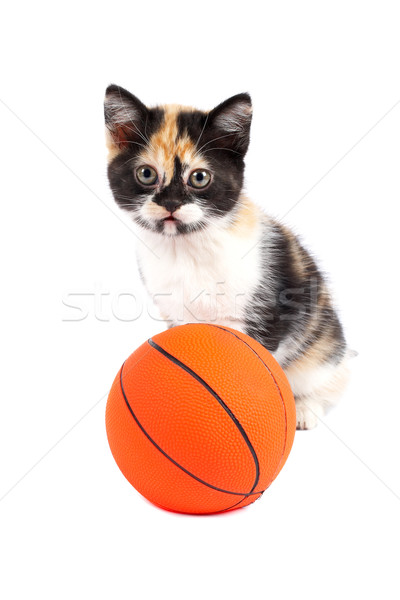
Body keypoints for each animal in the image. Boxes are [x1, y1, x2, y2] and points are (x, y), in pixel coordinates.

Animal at [104, 85, 352, 432]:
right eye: (146, 174)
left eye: (199, 178)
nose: (171, 203)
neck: (187, 247)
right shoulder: (175, 316)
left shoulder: (264, 315)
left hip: (322, 342)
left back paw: (306, 408)